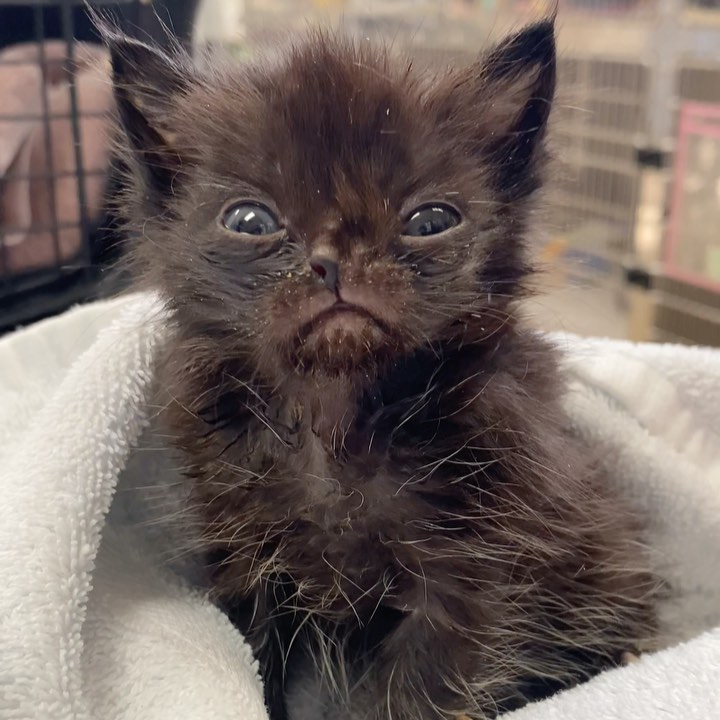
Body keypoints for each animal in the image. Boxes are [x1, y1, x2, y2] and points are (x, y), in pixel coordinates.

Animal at [102, 16, 660, 720]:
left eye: (431, 220)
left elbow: (417, 693)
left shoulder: (470, 579)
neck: (335, 414)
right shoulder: (246, 553)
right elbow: (254, 666)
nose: (333, 259)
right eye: (249, 219)